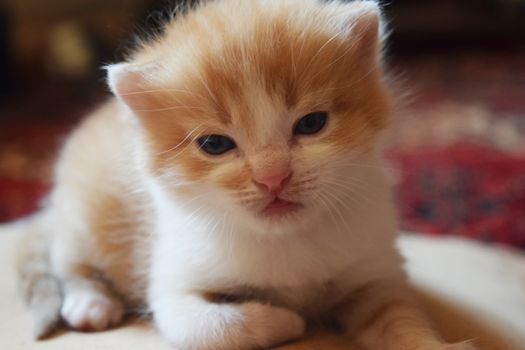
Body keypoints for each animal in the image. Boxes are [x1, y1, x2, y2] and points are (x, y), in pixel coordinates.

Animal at [15, 0, 474, 348]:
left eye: (312, 124)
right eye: (215, 145)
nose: (273, 177)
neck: (286, 240)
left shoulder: (374, 272)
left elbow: (400, 315)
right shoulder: (174, 287)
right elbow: (215, 328)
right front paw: (287, 320)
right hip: (83, 212)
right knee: (67, 256)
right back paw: (90, 303)